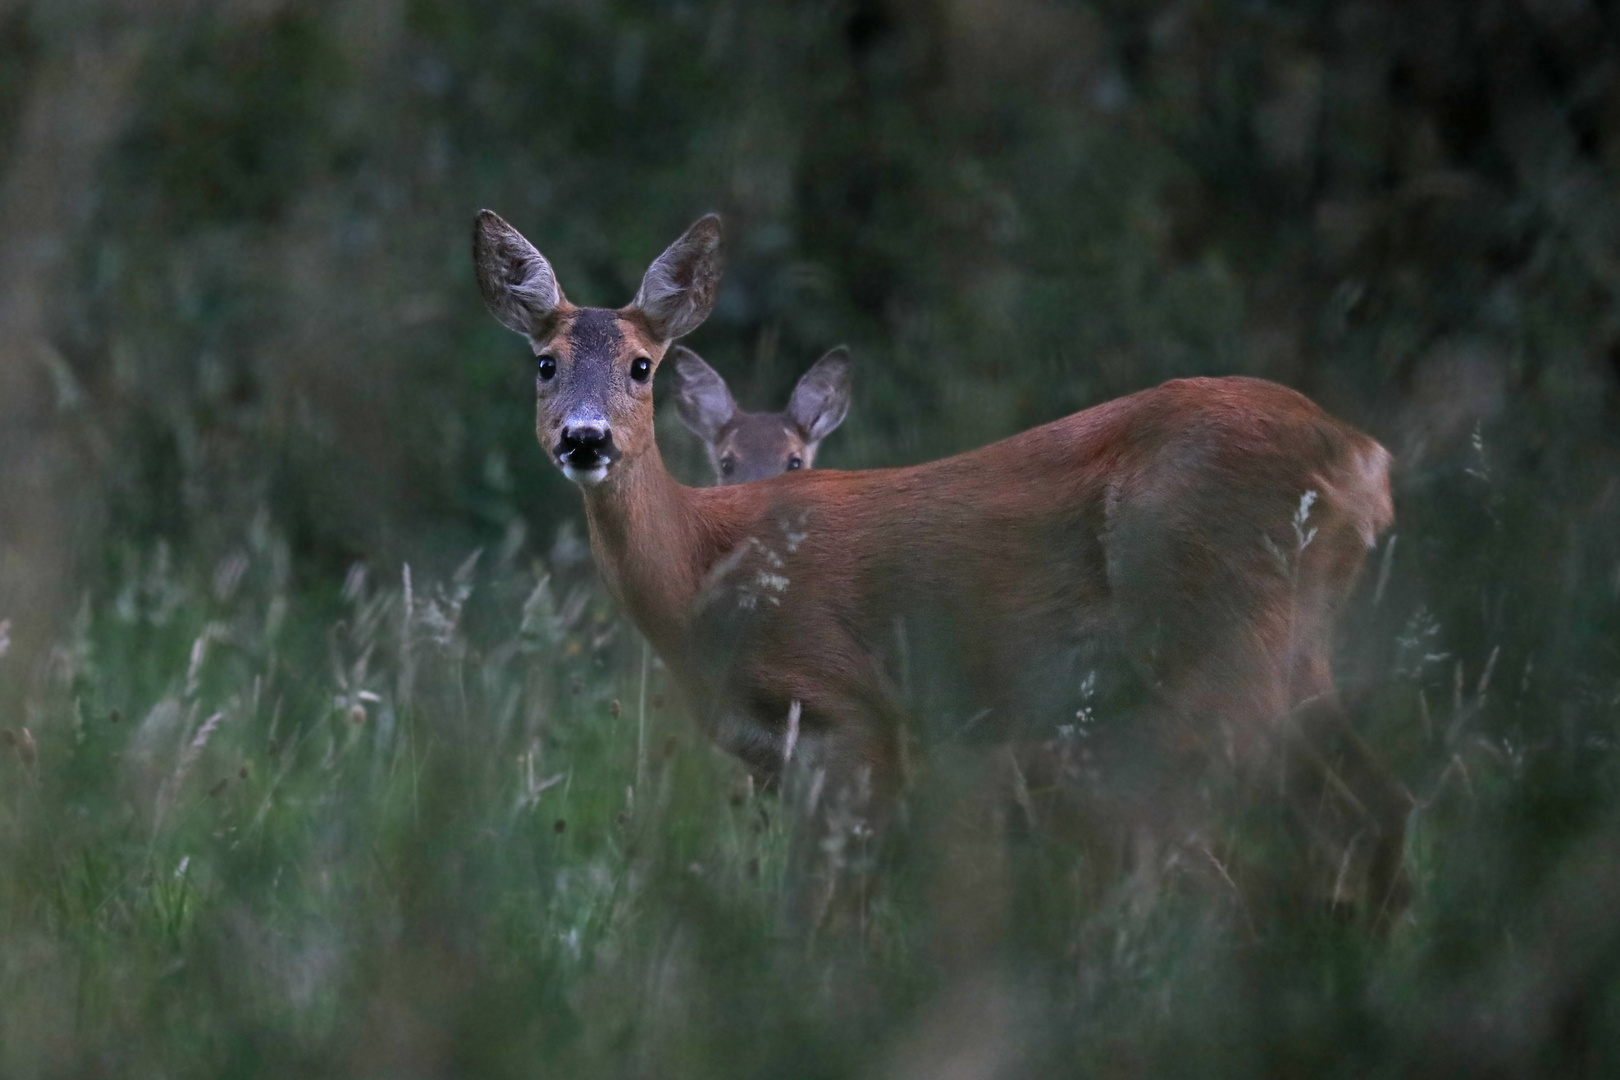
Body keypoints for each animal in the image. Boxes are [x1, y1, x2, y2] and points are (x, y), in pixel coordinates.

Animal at [473, 208, 1412, 919]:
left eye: (641, 366)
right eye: (545, 364)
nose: (585, 439)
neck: (706, 567)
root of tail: (1366, 460)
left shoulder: (852, 706)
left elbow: (829, 904)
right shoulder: (774, 755)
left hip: (1223, 627)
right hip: (1289, 641)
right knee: (1369, 806)